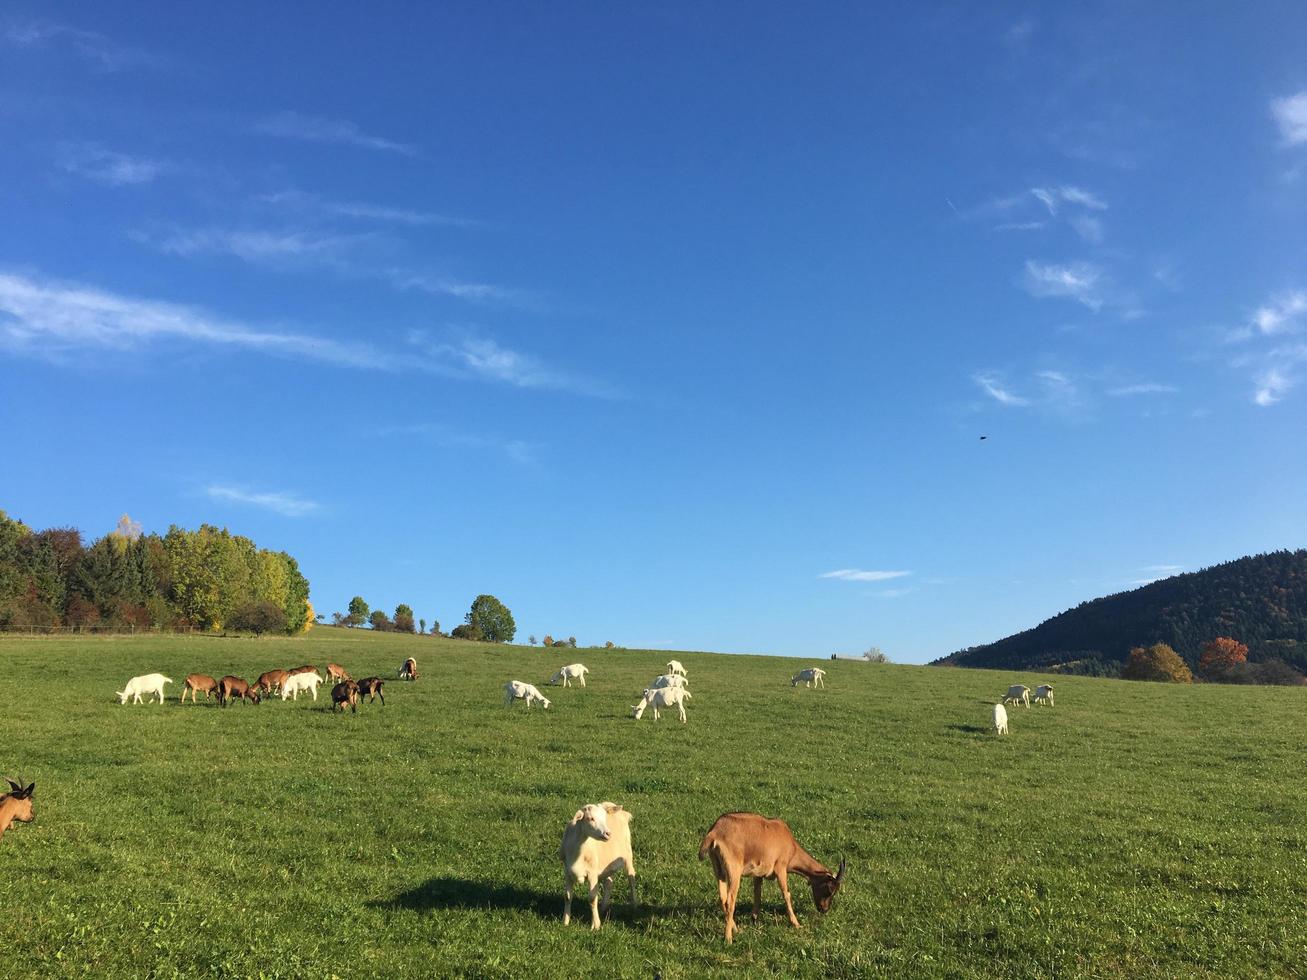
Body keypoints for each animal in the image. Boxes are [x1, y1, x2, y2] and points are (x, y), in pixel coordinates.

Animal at [695, 815, 846, 946]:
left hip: (718, 868)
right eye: (829, 890)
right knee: (730, 900)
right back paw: (728, 938)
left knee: (722, 897)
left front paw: (755, 918)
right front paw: (796, 923)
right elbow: (786, 894)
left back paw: (736, 929)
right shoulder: (781, 868)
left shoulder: (758, 874)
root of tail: (714, 832)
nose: (824, 909)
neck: (790, 846)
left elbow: (757, 893)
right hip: (734, 869)